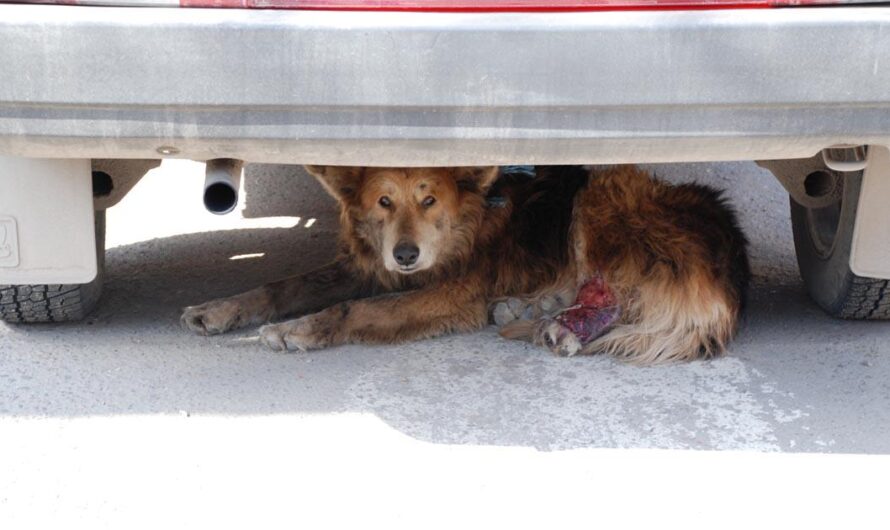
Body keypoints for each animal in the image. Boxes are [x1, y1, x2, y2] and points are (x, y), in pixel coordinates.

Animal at [182, 165, 748, 364]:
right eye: (384, 201)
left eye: (429, 200)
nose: (405, 255)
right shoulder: (368, 267)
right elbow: (280, 285)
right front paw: (219, 309)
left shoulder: (453, 292)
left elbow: (356, 311)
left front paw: (297, 329)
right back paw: (539, 311)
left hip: (600, 197)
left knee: (615, 290)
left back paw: (557, 325)